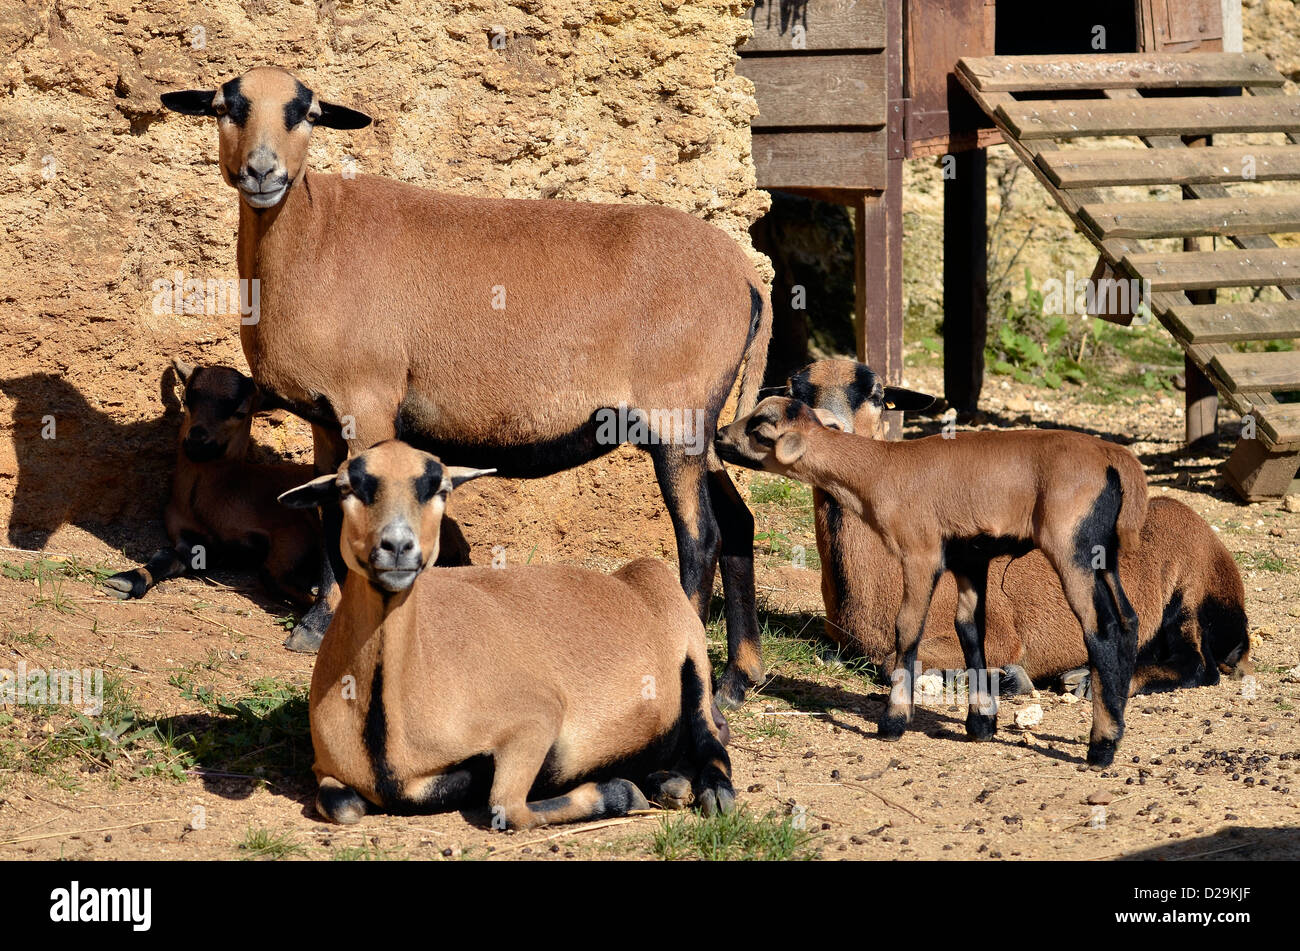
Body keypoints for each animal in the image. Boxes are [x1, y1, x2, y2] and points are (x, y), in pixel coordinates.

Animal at [279, 441, 738, 826]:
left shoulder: (536, 719)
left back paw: (710, 794)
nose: (397, 547)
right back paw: (668, 782)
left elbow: (507, 807)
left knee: (711, 736)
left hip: (688, 645)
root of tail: (627, 580)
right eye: (346, 488)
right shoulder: (327, 770)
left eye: (440, 488)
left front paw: (622, 792)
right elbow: (344, 806)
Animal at [717, 397, 1154, 769]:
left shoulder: (920, 550)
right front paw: (981, 724)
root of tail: (1117, 460)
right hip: (1104, 555)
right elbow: (970, 630)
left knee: (1102, 629)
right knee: (1129, 620)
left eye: (759, 427)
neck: (878, 471)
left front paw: (893, 721)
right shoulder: (969, 558)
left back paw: (1101, 747)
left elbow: (907, 628)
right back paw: (1116, 726)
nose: (719, 436)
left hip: (1071, 545)